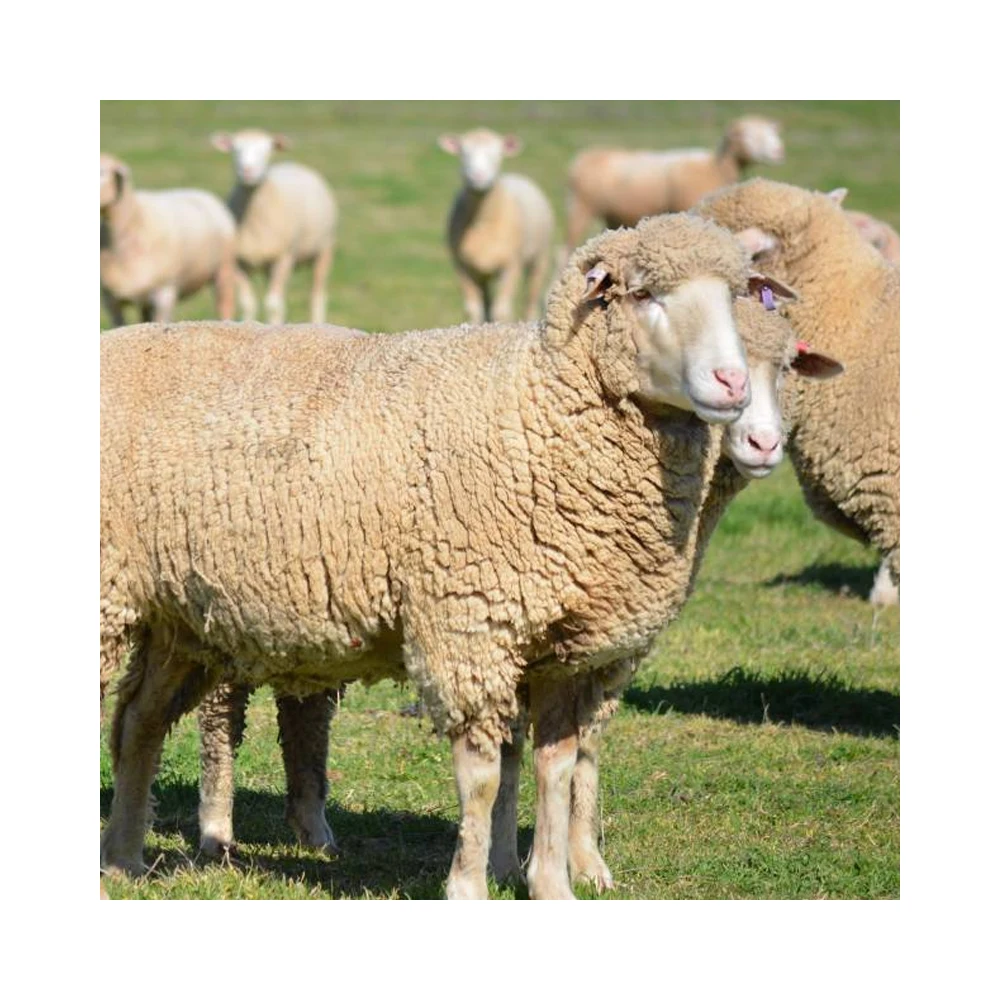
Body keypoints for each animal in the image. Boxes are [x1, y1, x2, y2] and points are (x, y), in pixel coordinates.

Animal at [100, 153, 236, 325]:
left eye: (102, 172)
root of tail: (199, 192)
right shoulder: (110, 300)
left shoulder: (164, 293)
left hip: (224, 269)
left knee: (225, 305)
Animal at [100, 212, 775, 900]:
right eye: (643, 294)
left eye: (734, 296)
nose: (733, 385)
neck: (539, 410)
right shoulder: (470, 626)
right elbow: (482, 777)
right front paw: (470, 886)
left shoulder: (567, 648)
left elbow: (555, 769)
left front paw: (553, 886)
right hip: (112, 595)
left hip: (180, 615)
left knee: (137, 723)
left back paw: (124, 858)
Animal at [211, 130, 338, 324]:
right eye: (235, 149)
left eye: (266, 150)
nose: (247, 171)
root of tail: (294, 164)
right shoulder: (237, 264)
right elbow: (247, 303)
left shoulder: (283, 259)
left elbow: (274, 305)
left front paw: (275, 325)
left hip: (324, 250)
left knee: (317, 295)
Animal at [439, 128, 555, 323]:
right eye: (463, 153)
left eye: (497, 154)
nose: (478, 177)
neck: (483, 222)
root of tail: (516, 176)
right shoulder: (462, 267)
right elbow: (473, 310)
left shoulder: (511, 265)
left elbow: (502, 310)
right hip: (483, 272)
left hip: (540, 257)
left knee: (530, 298)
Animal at [563, 116, 784, 258]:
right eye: (748, 136)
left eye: (772, 134)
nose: (778, 151)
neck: (715, 167)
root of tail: (583, 156)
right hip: (580, 207)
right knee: (564, 251)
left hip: (612, 216)